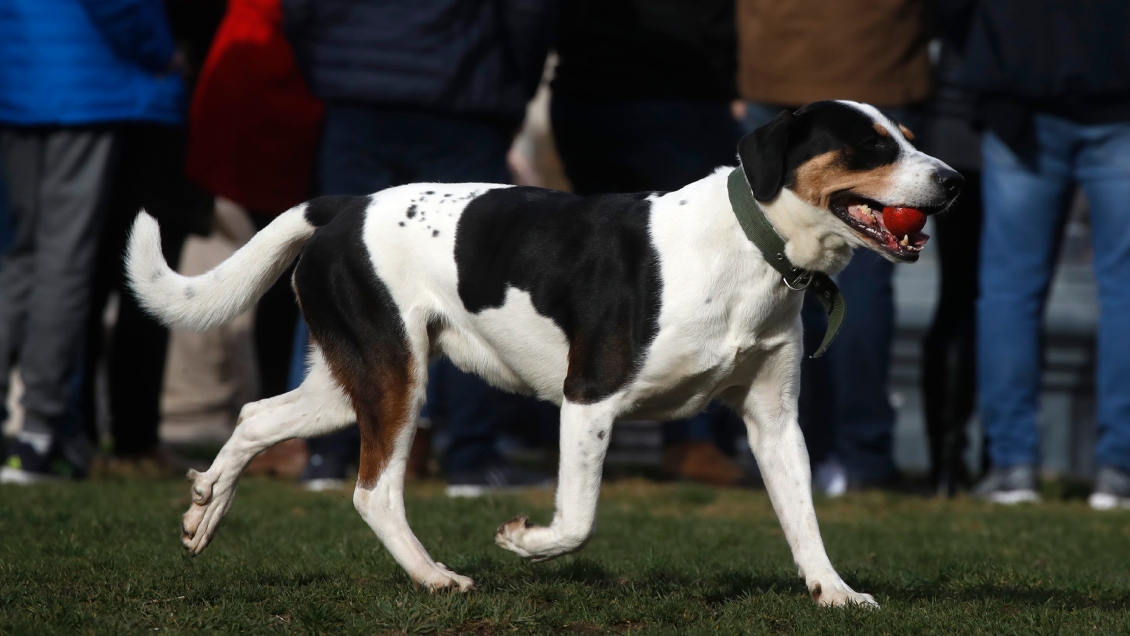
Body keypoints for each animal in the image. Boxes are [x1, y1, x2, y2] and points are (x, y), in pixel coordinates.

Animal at [125, 99, 962, 605]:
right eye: (869, 146)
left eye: (910, 138)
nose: (955, 181)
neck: (749, 248)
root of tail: (341, 205)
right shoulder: (589, 397)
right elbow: (578, 519)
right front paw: (522, 542)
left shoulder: (774, 422)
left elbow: (804, 518)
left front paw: (834, 592)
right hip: (397, 379)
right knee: (372, 491)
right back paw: (435, 577)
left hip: (352, 378)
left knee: (256, 416)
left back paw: (205, 511)